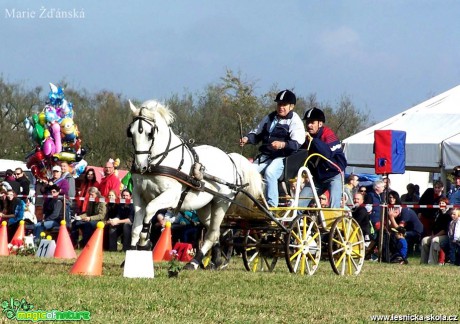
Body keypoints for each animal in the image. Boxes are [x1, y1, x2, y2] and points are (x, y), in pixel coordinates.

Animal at [126, 100, 262, 270]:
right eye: (130, 132)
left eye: (150, 133)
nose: (140, 166)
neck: (158, 162)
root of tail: (230, 158)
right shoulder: (138, 195)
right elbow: (135, 226)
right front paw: (131, 254)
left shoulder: (171, 195)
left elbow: (150, 210)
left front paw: (144, 242)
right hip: (204, 207)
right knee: (215, 231)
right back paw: (215, 261)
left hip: (221, 203)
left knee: (212, 233)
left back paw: (194, 262)